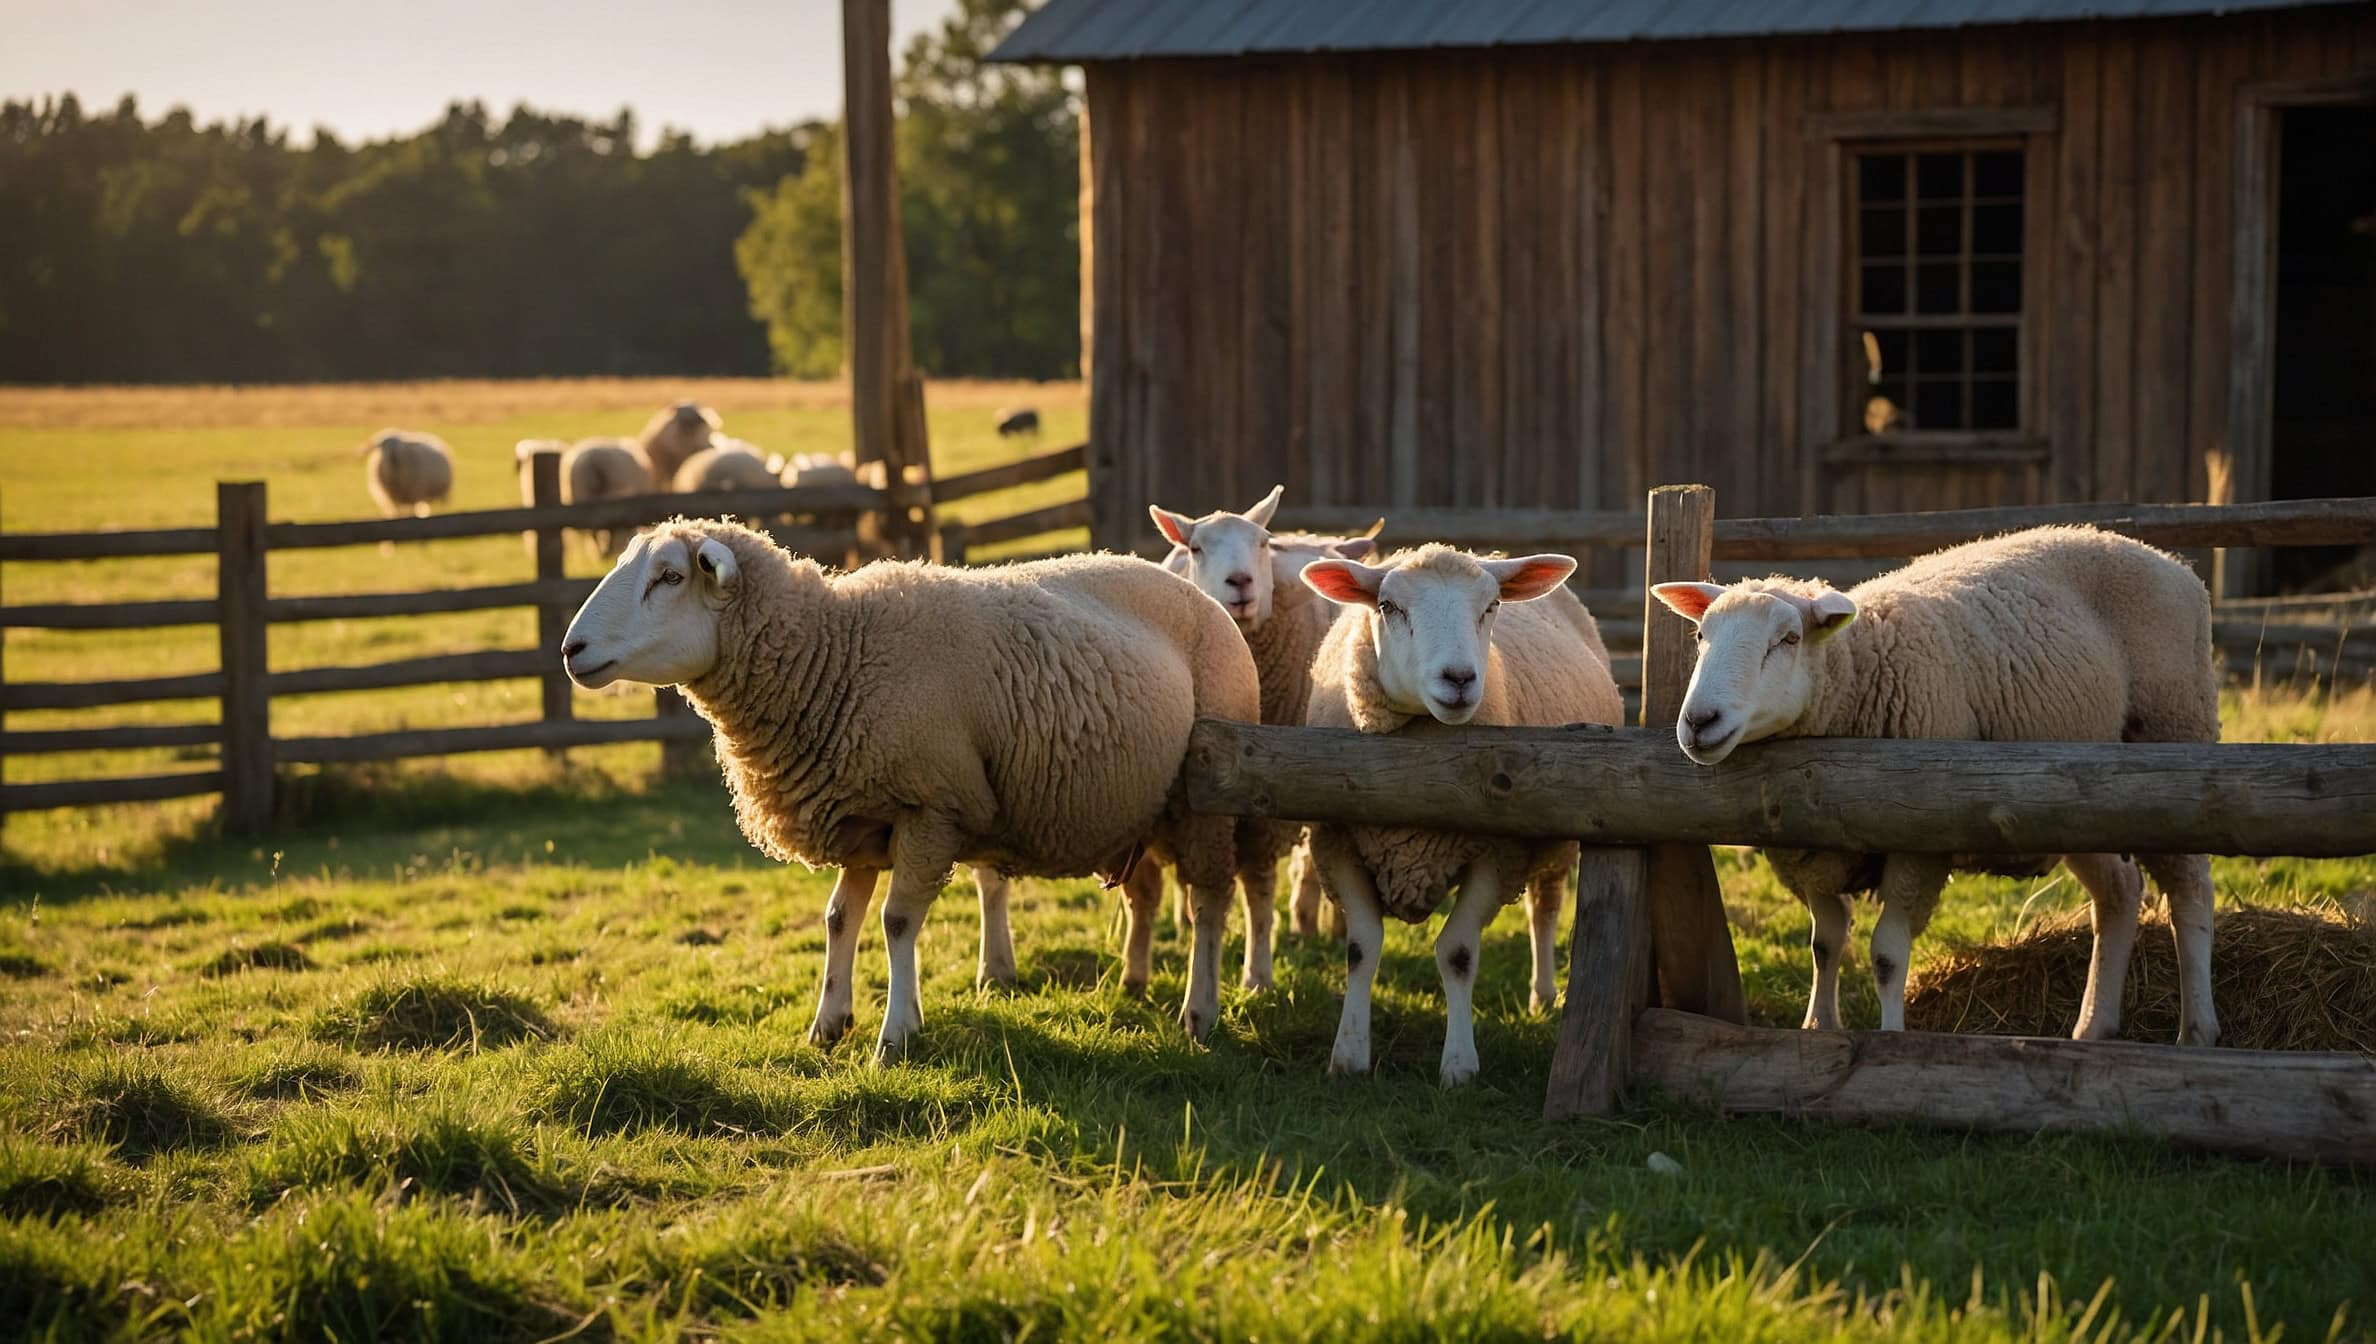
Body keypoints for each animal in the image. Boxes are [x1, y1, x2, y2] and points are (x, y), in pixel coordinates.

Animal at [560, 518, 1262, 1059]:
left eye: (670, 577)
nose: (571, 649)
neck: (836, 654)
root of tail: (1199, 595)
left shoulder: (933, 806)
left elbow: (897, 922)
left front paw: (896, 1033)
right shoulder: (862, 816)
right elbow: (839, 918)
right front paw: (828, 1024)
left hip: (1204, 797)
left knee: (1209, 902)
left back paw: (1201, 1013)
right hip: (1143, 805)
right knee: (1154, 894)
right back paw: (1135, 985)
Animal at [1149, 486, 1377, 972]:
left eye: (1262, 542)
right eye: (1197, 549)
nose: (1240, 582)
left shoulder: (1275, 794)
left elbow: (1259, 882)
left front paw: (1258, 972)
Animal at [1300, 545, 1624, 1086]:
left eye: (1491, 606)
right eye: (1387, 606)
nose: (1459, 679)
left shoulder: (1499, 851)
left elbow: (1457, 953)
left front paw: (1458, 1065)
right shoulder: (1336, 840)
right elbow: (1361, 948)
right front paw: (1348, 1055)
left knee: (1544, 908)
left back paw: (1542, 995)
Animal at [1651, 524, 2221, 1047]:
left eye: (1788, 639)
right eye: (1700, 637)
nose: (1699, 721)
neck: (1859, 673)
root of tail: (2167, 559)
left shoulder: (1918, 845)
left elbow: (1885, 955)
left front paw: (1892, 1040)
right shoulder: (1814, 852)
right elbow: (1825, 944)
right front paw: (1818, 1028)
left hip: (2173, 737)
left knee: (2190, 890)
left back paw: (2196, 1030)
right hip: (2081, 801)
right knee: (2120, 891)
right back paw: (2093, 1027)